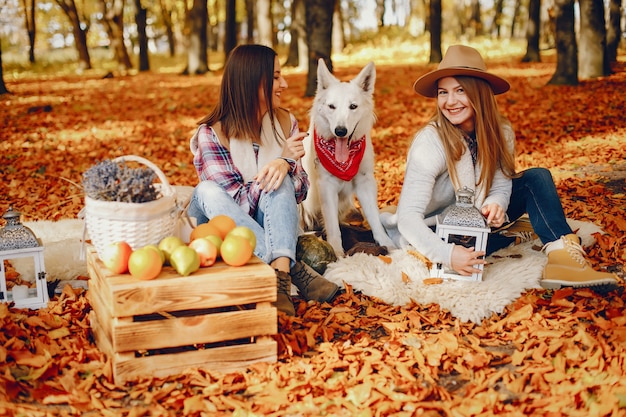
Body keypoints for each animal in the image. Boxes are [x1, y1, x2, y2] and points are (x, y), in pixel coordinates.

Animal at [298, 57, 394, 255]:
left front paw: (387, 244)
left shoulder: (365, 183)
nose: (340, 131)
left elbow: (374, 218)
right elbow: (333, 227)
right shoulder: (326, 186)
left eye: (353, 107)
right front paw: (338, 253)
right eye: (331, 107)